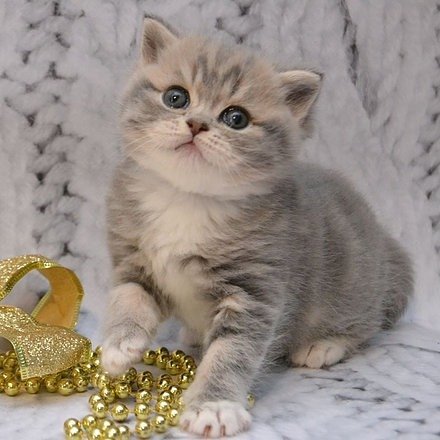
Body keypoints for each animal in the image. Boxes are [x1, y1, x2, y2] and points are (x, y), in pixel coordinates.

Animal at [101, 16, 413, 437]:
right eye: (176, 98)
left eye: (236, 119)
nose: (196, 124)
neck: (188, 200)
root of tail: (382, 240)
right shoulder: (133, 258)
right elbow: (129, 296)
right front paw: (120, 343)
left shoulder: (255, 288)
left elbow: (232, 351)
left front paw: (214, 405)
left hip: (356, 280)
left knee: (367, 320)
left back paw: (325, 344)